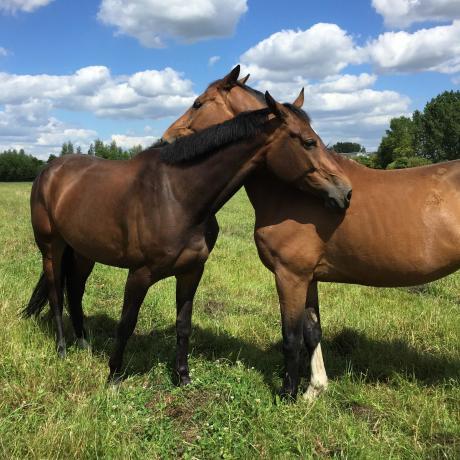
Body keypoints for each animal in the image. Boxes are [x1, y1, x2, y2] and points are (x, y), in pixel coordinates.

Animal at [23, 89, 350, 384]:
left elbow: (183, 324)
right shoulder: (139, 273)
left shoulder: (191, 271)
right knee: (56, 294)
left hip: (82, 252)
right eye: (308, 142)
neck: (177, 195)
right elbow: (126, 323)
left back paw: (83, 342)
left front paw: (182, 376)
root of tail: (49, 170)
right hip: (51, 247)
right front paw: (114, 375)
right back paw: (62, 349)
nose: (345, 192)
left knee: (75, 291)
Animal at [162, 64, 460, 398]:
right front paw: (314, 389)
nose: (166, 140)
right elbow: (312, 330)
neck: (294, 194)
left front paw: (288, 392)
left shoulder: (290, 275)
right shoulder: (309, 277)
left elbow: (291, 335)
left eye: (198, 104)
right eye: (308, 141)